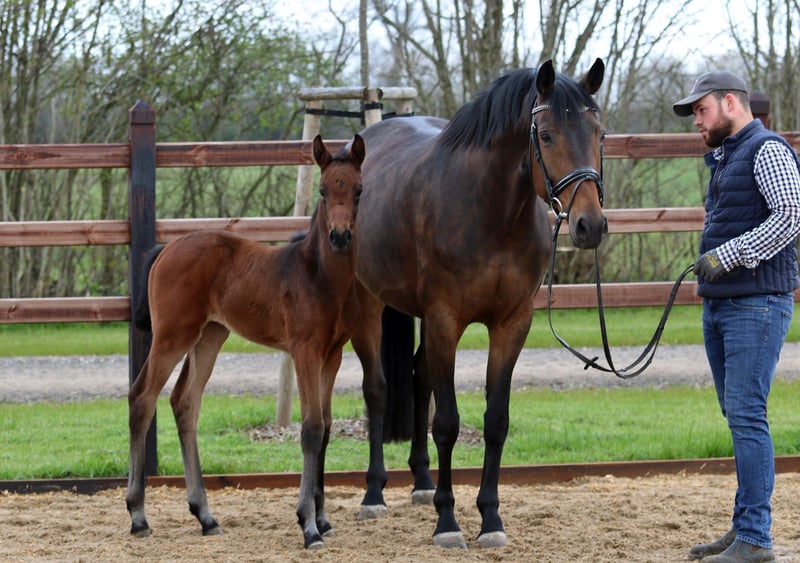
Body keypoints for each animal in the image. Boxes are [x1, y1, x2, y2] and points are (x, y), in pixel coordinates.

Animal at [125, 134, 366, 550]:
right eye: (322, 190)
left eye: (358, 190)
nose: (339, 237)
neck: (318, 275)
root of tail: (166, 249)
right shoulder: (304, 350)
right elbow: (311, 429)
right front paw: (308, 526)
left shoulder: (332, 355)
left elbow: (327, 427)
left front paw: (322, 519)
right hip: (173, 336)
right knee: (142, 398)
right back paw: (138, 516)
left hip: (209, 336)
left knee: (184, 403)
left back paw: (205, 516)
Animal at [349, 59, 607, 548]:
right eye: (547, 136)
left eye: (599, 133)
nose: (591, 225)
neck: (491, 212)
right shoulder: (446, 320)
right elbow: (448, 423)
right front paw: (448, 522)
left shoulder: (511, 324)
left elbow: (495, 421)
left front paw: (490, 518)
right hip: (370, 306)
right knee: (377, 388)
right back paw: (374, 493)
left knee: (418, 376)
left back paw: (422, 483)